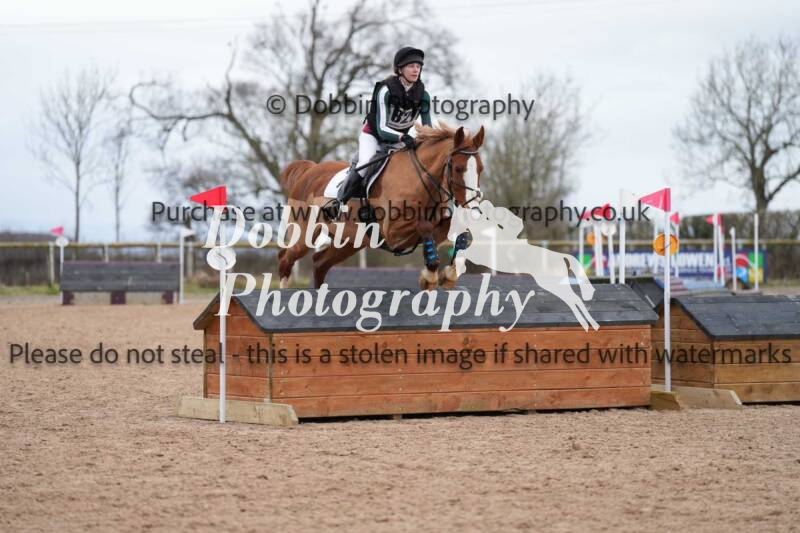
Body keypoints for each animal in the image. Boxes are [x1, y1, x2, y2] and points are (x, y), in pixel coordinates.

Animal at [277, 122, 485, 290]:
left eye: (481, 169)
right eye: (458, 168)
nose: (473, 210)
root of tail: (309, 170)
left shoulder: (438, 227)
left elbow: (461, 230)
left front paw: (449, 274)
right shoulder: (393, 232)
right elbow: (424, 225)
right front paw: (430, 276)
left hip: (350, 241)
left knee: (319, 264)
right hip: (303, 235)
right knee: (285, 258)